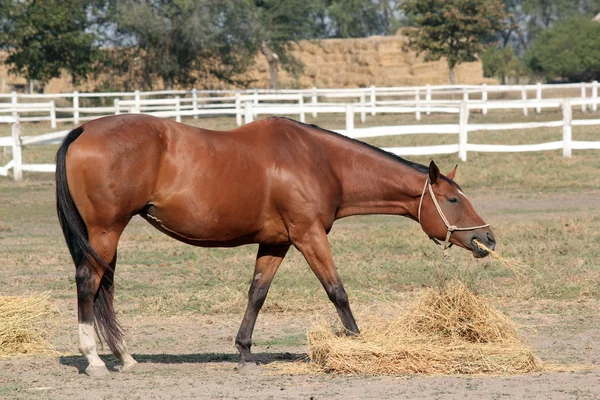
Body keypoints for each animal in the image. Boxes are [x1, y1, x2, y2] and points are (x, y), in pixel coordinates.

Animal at [56, 114, 494, 376]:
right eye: (453, 200)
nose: (486, 238)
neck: (320, 161)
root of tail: (85, 130)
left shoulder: (276, 243)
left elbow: (257, 294)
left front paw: (245, 351)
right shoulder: (308, 235)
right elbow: (337, 291)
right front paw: (359, 344)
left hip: (108, 236)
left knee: (104, 289)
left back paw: (125, 356)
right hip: (106, 231)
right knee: (88, 283)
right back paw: (94, 360)